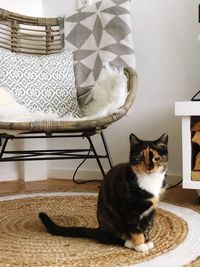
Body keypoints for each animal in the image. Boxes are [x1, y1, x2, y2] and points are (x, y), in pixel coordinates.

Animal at [38, 134, 167, 253]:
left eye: (157, 158)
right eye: (140, 157)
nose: (149, 167)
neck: (149, 181)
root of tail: (99, 228)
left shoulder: (151, 211)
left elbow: (147, 227)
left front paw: (147, 240)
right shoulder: (129, 209)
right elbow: (135, 228)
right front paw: (140, 244)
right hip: (111, 220)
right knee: (108, 238)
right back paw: (129, 242)